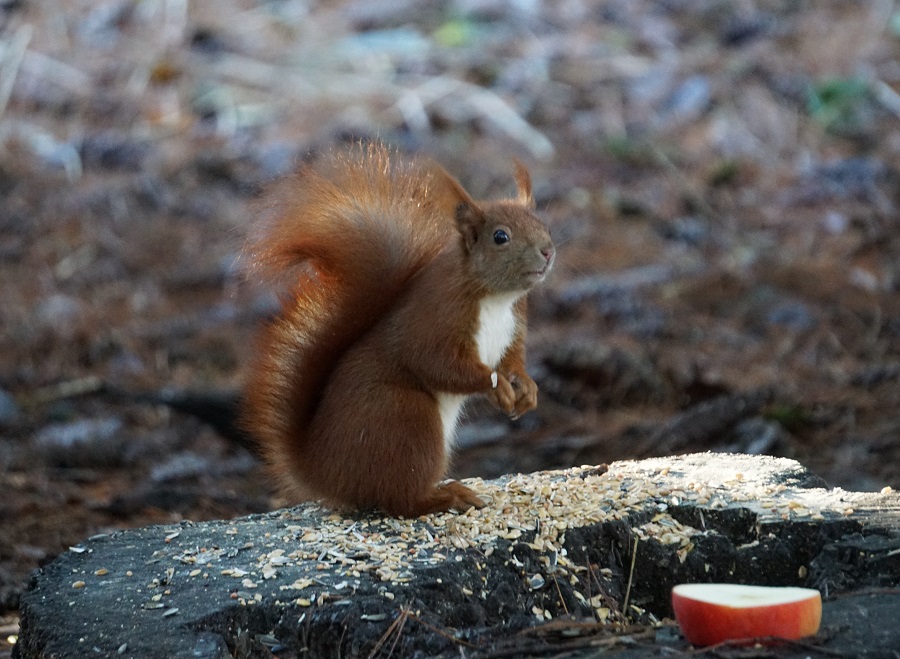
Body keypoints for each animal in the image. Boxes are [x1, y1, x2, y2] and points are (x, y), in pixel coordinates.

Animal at [241, 143, 554, 517]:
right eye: (500, 237)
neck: (496, 297)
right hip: (406, 420)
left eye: (543, 225)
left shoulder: (514, 324)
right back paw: (447, 496)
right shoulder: (436, 319)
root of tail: (322, 472)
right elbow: (437, 363)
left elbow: (512, 360)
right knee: (400, 500)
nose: (548, 251)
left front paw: (526, 388)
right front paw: (495, 386)